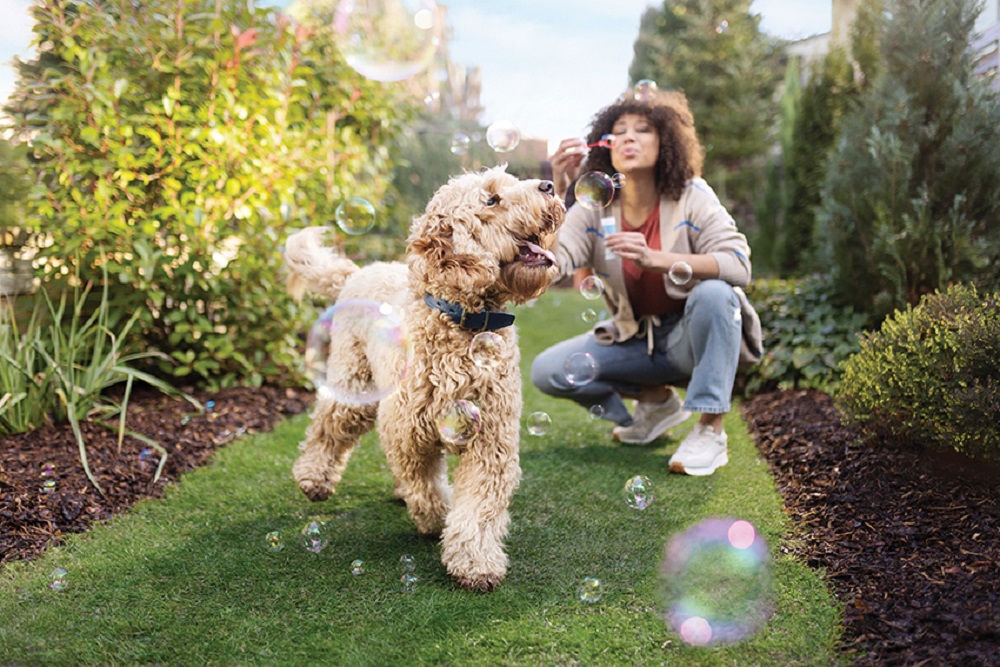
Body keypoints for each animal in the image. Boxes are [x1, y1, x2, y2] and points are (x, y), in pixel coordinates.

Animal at [284, 166, 564, 588]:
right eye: (491, 199)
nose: (549, 185)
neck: (461, 323)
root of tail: (360, 271)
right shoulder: (410, 432)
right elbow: (425, 484)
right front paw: (435, 519)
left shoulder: (490, 439)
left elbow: (479, 508)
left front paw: (475, 561)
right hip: (355, 383)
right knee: (328, 424)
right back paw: (313, 477)